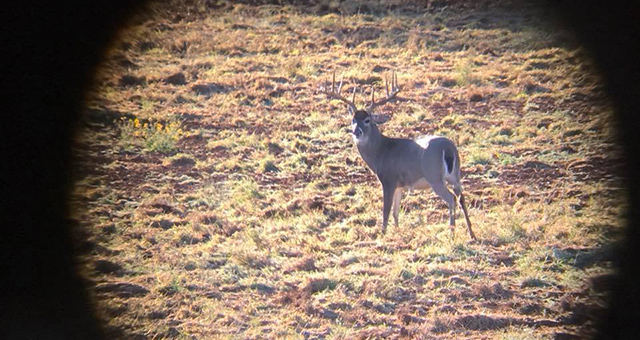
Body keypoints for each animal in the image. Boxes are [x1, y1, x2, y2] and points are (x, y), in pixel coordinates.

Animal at [320, 71, 476, 242]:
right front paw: (398, 232)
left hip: (434, 176)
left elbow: (386, 211)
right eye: (353, 120)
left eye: (367, 120)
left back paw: (452, 233)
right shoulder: (400, 184)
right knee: (461, 196)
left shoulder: (388, 179)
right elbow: (396, 211)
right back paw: (471, 234)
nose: (356, 132)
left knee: (451, 198)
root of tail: (448, 148)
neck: (380, 152)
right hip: (455, 175)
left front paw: (382, 234)